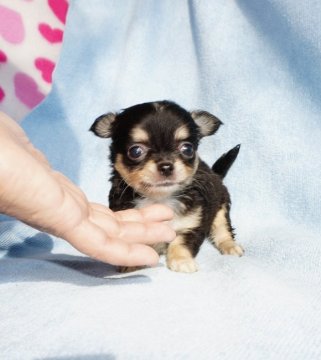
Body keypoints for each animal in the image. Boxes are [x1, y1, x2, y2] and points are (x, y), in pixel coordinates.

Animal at [90, 100, 242, 272]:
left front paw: (181, 261)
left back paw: (230, 246)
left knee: (223, 229)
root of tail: (215, 174)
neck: (159, 199)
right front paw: (131, 263)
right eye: (135, 151)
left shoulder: (192, 223)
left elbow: (181, 242)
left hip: (221, 206)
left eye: (187, 149)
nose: (166, 166)